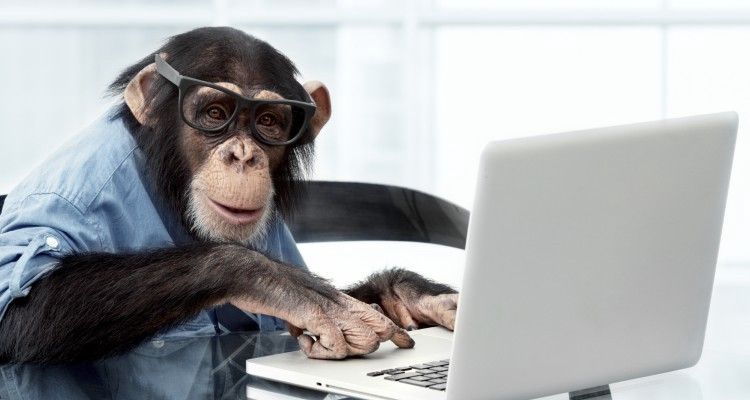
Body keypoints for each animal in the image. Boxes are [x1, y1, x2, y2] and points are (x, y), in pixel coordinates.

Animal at [0, 27, 458, 365]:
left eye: (269, 122)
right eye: (215, 114)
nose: (243, 154)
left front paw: (409, 294)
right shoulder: (75, 193)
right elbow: (20, 306)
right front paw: (286, 286)